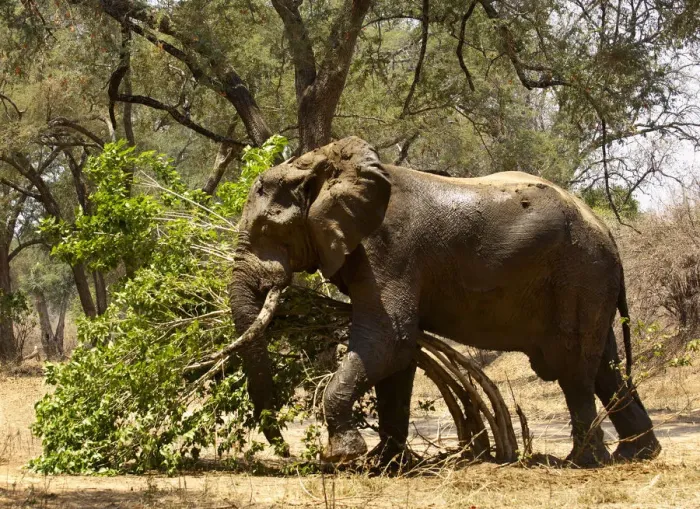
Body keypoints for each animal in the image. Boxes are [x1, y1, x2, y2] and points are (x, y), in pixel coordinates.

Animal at [229, 136, 661, 467]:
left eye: (267, 229)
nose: (285, 451)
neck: (325, 162)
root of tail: (607, 231)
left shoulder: (390, 250)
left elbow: (389, 340)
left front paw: (343, 457)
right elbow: (398, 357)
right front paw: (387, 464)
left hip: (580, 274)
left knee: (574, 368)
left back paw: (582, 462)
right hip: (591, 281)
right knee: (605, 368)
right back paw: (637, 454)